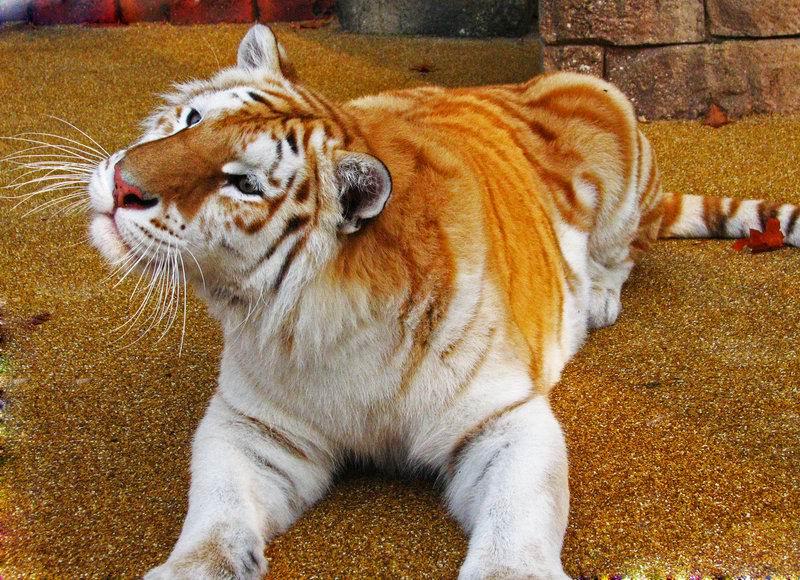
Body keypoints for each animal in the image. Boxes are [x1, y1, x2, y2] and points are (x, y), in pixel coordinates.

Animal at [84, 24, 800, 579]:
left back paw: (597, 294)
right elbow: (217, 517)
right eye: (191, 119)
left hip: (607, 108)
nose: (121, 184)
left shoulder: (503, 418)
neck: (324, 324)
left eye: (245, 184)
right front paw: (191, 564)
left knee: (622, 252)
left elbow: (515, 529)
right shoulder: (251, 426)